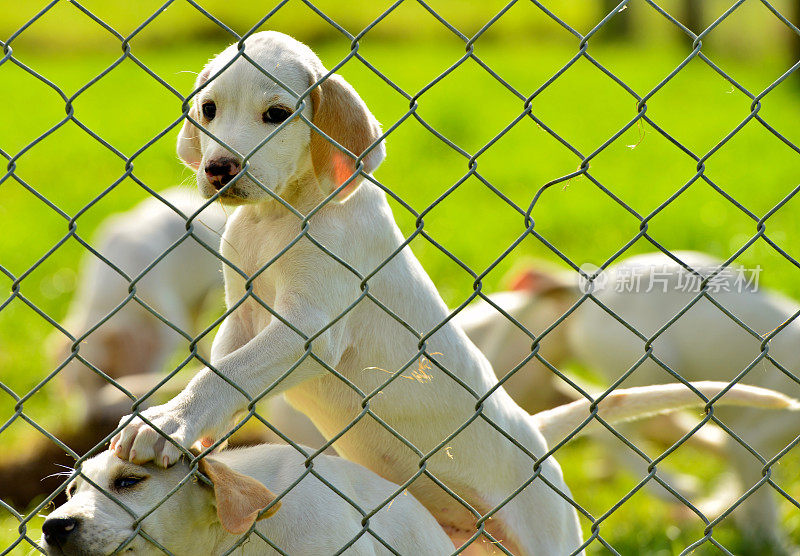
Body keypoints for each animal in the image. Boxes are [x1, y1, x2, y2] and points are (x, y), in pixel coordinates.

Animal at [111, 32, 800, 552]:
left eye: (276, 115)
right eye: (208, 111)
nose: (218, 170)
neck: (281, 216)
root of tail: (539, 436)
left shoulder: (308, 330)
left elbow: (228, 374)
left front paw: (164, 422)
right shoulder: (243, 316)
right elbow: (223, 367)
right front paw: (192, 432)